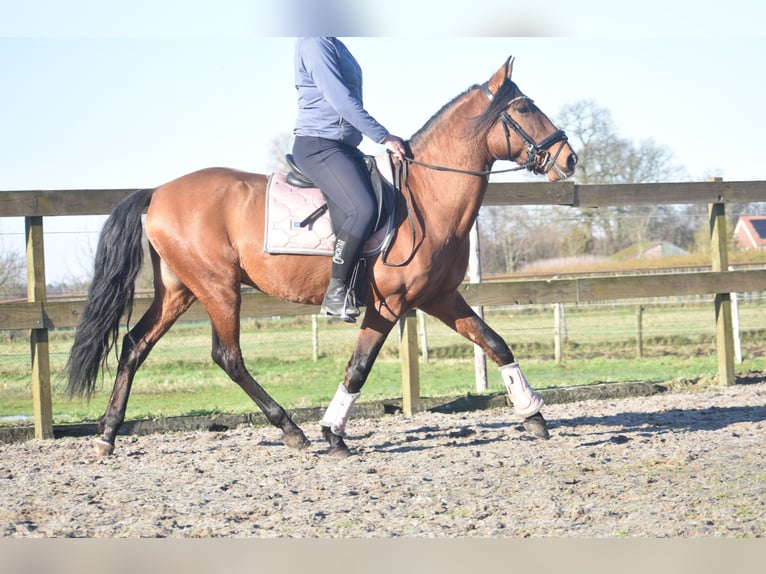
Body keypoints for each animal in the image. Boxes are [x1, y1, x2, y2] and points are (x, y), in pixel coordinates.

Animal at [67, 57, 576, 460]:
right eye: (524, 108)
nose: (569, 158)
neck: (428, 197)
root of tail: (158, 192)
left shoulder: (440, 297)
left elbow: (496, 343)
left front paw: (533, 415)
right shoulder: (389, 304)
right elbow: (359, 367)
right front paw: (333, 433)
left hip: (180, 290)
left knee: (135, 344)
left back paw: (108, 435)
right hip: (217, 287)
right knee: (227, 356)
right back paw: (291, 429)